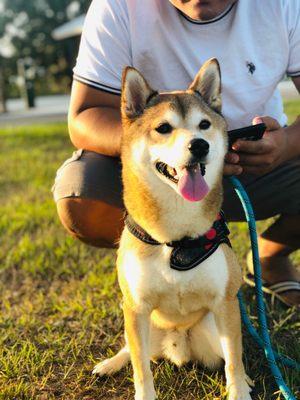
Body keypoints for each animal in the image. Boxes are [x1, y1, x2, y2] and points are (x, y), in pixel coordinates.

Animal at [92, 59, 252, 400]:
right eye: (164, 128)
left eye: (204, 125)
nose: (199, 145)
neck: (177, 237)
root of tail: (178, 344)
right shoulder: (136, 306)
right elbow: (141, 370)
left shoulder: (225, 303)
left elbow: (235, 360)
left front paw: (240, 390)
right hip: (141, 323)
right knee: (130, 349)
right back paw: (111, 363)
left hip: (213, 327)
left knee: (232, 354)